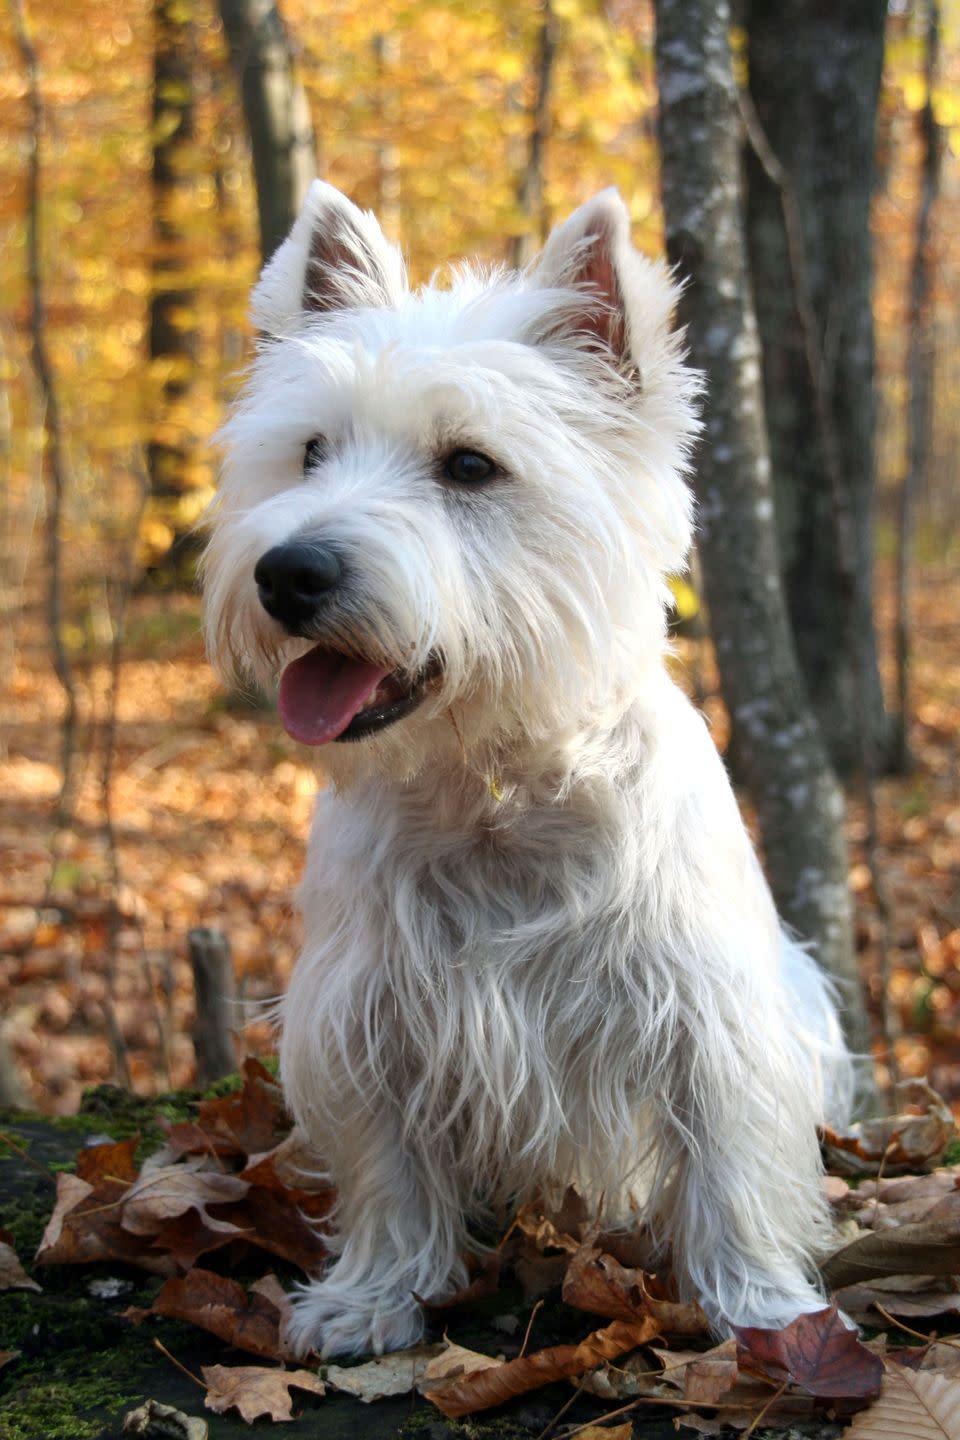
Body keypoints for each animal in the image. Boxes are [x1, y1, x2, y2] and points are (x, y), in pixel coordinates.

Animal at [204, 180, 857, 1359]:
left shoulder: (709, 1019)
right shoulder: (365, 1014)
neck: (492, 789)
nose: (288, 572)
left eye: (470, 465)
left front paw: (768, 1313)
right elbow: (388, 1172)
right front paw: (372, 1298)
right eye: (310, 452)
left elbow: (732, 1167)